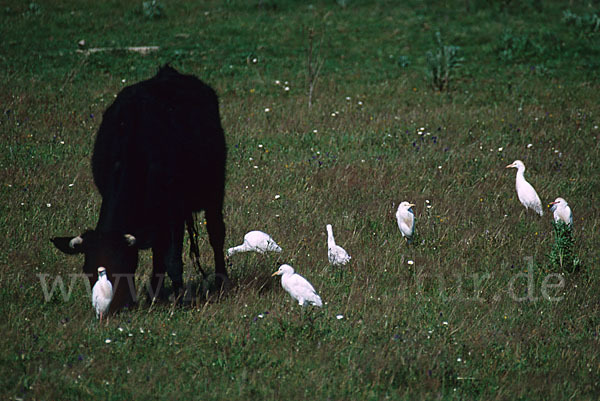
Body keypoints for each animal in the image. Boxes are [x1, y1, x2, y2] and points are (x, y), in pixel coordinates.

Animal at [51, 65, 229, 310]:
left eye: (124, 264)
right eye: (87, 271)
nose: (118, 306)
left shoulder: (174, 207)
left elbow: (173, 257)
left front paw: (181, 298)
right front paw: (155, 295)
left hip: (214, 189)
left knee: (216, 233)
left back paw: (222, 281)